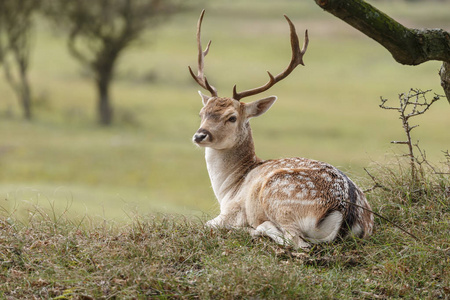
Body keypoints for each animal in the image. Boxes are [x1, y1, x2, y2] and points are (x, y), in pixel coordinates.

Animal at [189, 9, 372, 248]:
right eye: (202, 113)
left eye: (232, 117)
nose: (200, 135)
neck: (230, 188)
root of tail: (345, 211)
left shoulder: (231, 212)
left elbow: (203, 224)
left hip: (279, 196)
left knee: (298, 242)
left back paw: (257, 228)